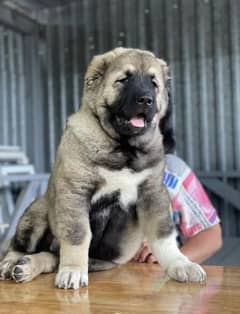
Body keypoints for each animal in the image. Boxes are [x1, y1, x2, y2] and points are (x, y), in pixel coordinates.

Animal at [0, 47, 206, 290]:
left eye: (154, 83)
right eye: (124, 80)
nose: (146, 100)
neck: (122, 148)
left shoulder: (153, 193)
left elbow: (162, 235)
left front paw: (181, 264)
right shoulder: (76, 190)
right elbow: (78, 234)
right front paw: (73, 271)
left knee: (50, 257)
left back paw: (26, 266)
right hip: (38, 209)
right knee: (20, 246)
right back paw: (12, 263)